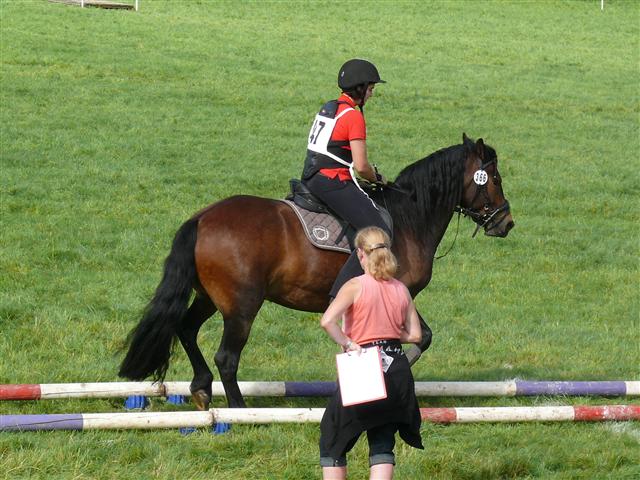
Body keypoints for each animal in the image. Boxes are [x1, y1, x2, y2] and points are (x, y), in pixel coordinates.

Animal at [119, 133, 514, 409]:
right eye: (494, 178)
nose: (506, 223)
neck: (409, 217)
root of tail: (202, 218)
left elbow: (414, 337)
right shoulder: (394, 291)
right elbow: (417, 339)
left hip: (211, 297)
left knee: (185, 329)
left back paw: (202, 389)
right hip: (242, 305)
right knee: (226, 358)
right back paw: (240, 411)